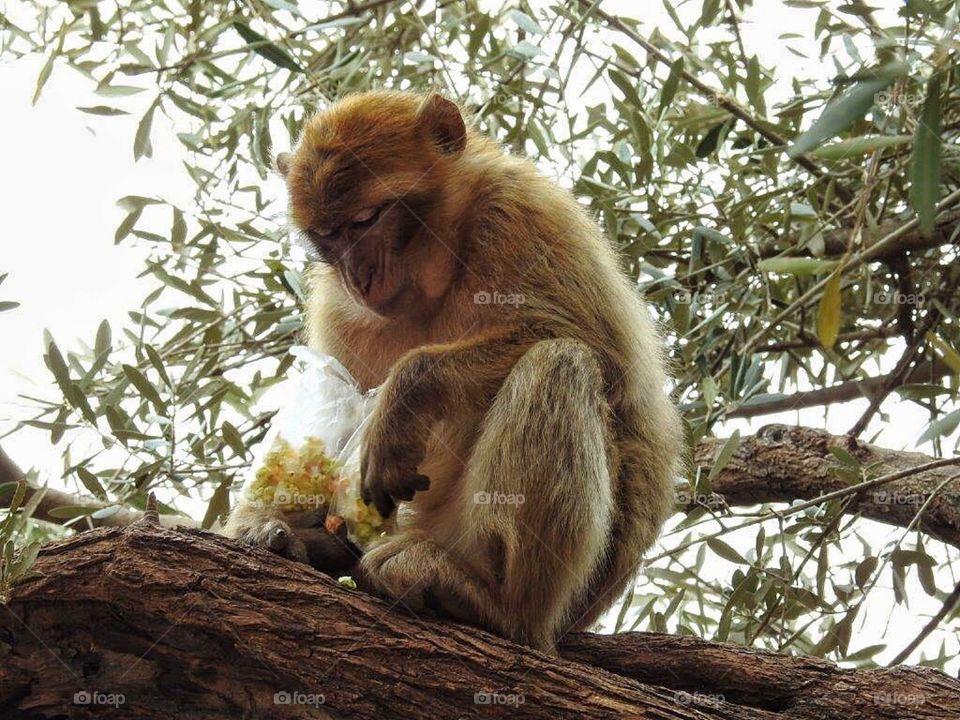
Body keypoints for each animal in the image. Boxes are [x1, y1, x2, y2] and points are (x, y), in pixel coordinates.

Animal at [227, 90, 684, 652]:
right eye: (327, 235)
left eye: (366, 219)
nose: (359, 276)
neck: (440, 265)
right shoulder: (338, 308)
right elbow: (339, 399)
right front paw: (282, 526)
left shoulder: (522, 211)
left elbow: (597, 350)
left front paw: (403, 398)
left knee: (561, 363)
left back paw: (497, 606)